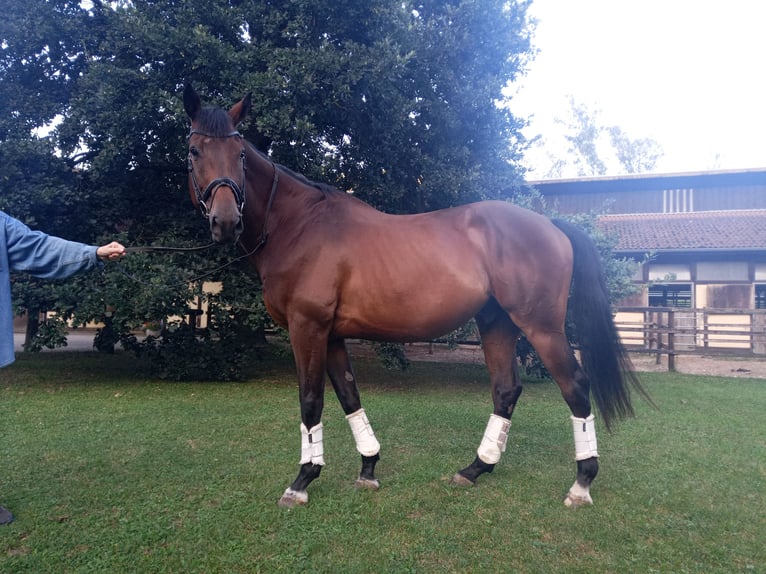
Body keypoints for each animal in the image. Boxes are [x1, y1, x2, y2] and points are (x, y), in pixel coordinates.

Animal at [183, 84, 644, 508]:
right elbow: (349, 396)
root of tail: (549, 223)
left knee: (575, 386)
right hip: (496, 322)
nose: (226, 221)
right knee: (506, 390)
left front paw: (301, 482)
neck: (301, 226)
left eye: (241, 155)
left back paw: (581, 484)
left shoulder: (307, 328)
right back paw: (475, 468)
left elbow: (311, 400)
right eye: (193, 152)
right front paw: (368, 468)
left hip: (541, 327)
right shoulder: (332, 334)